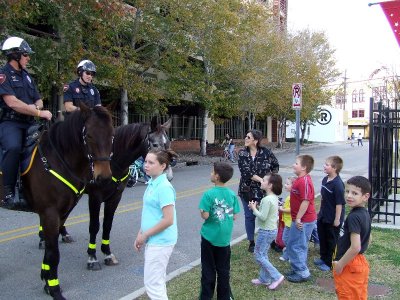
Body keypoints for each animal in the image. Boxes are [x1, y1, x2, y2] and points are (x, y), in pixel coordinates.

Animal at [16, 104, 113, 298]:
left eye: (112, 135)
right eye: (89, 136)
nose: (104, 178)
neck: (58, 159)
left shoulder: (61, 213)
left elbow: (49, 250)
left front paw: (47, 282)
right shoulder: (50, 214)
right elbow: (54, 253)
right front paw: (54, 289)